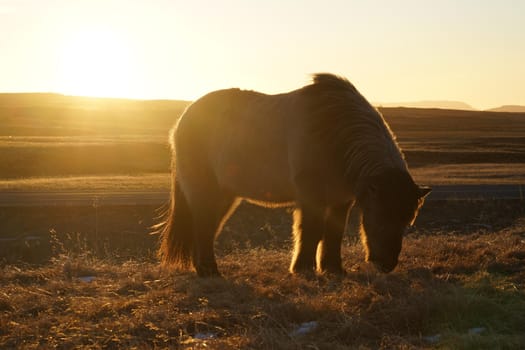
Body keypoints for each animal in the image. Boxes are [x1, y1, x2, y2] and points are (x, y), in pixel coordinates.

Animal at [152, 73, 430, 276]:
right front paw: (303, 268)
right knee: (202, 225)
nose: (387, 265)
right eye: (380, 216)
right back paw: (208, 270)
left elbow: (334, 233)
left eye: (406, 221)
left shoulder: (341, 200)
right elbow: (311, 230)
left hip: (225, 196)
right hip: (205, 191)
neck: (334, 133)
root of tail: (182, 120)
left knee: (208, 227)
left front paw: (332, 269)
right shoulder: (311, 197)